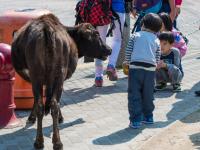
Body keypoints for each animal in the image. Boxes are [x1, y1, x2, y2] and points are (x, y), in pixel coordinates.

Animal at [10, 13, 111, 149]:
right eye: (96, 34)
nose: (109, 49)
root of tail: (47, 28)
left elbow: (41, 99)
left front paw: (32, 117)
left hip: (38, 75)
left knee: (44, 105)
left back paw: (41, 141)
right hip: (57, 75)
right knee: (54, 104)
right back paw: (56, 141)